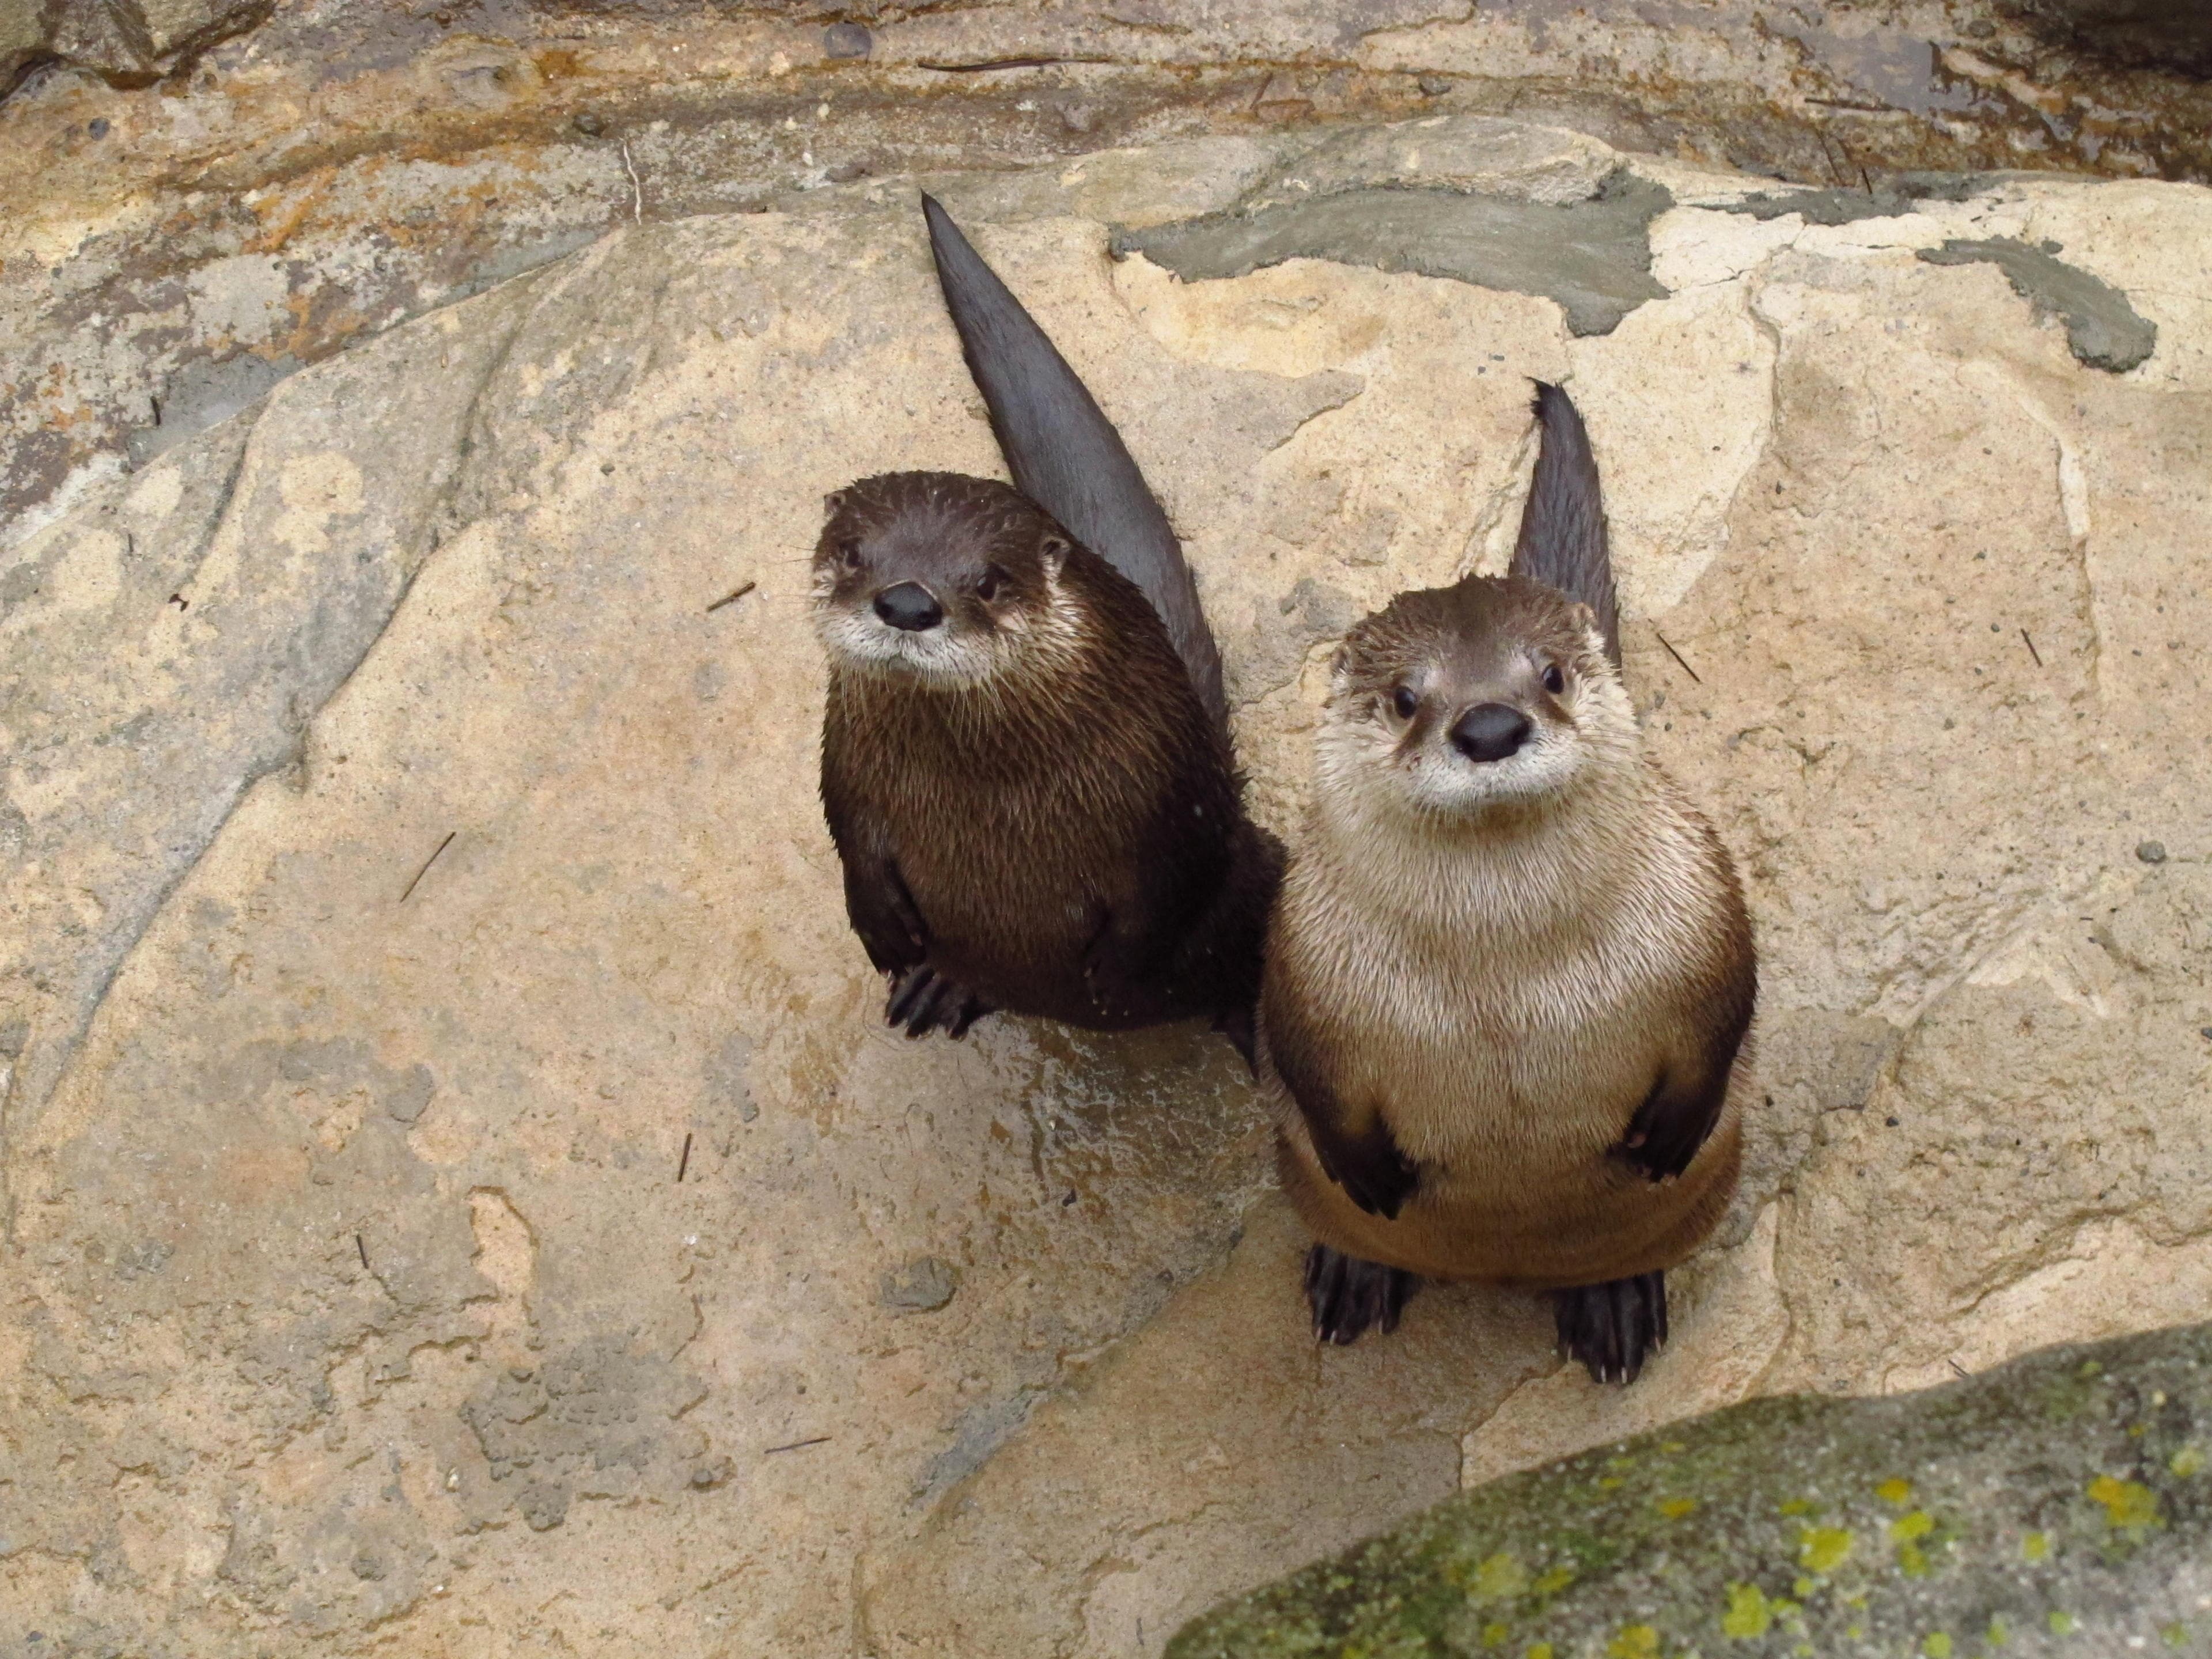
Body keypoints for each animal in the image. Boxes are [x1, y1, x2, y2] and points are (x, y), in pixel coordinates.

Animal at [812, 199, 1278, 1048]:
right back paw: (941, 986)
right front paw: (884, 932)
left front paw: (1115, 974)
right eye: (853, 552)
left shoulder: (1168, 790)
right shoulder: (844, 763)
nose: (907, 603)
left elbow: (1165, 886)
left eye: (989, 581)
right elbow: (851, 838)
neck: (988, 797)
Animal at [1261, 383, 1756, 1383]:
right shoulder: (1305, 952)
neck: (1507, 972)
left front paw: (1675, 1126)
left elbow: (1732, 996)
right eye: (1406, 698)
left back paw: (1613, 1304)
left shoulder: (1701, 897)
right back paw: (1353, 1273)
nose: (1490, 726)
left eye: (1553, 675)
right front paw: (1368, 1172)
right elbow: (1300, 1057)